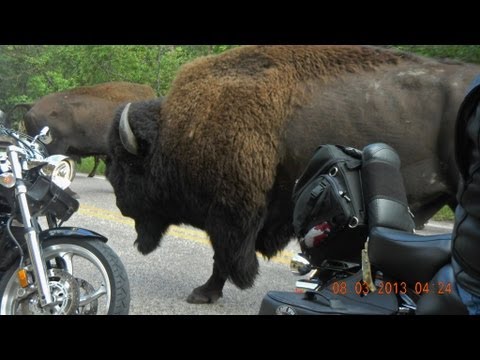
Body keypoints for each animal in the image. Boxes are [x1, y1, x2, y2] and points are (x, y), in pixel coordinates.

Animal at [106, 45, 480, 304]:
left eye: (125, 164)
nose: (121, 205)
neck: (179, 130)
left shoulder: (232, 211)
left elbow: (223, 255)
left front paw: (203, 293)